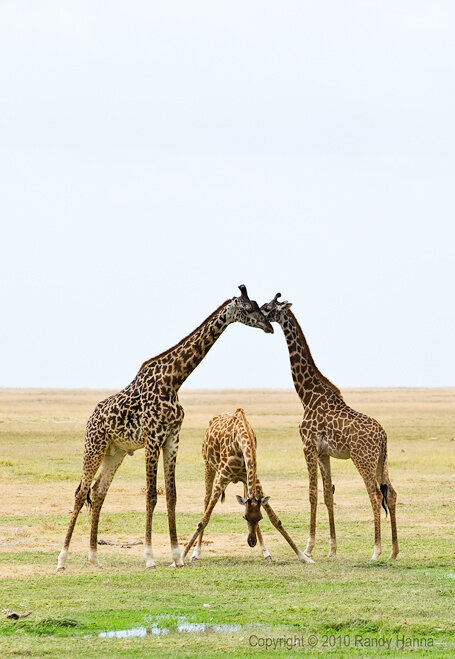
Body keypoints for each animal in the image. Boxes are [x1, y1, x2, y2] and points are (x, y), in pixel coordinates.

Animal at [56, 286, 274, 571]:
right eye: (248, 309)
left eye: (260, 305)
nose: (269, 326)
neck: (173, 380)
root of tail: (90, 418)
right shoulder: (152, 439)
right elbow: (151, 495)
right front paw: (149, 557)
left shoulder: (172, 438)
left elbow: (171, 495)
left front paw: (176, 556)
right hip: (94, 446)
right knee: (81, 493)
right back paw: (62, 559)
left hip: (115, 452)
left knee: (98, 492)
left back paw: (94, 557)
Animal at [183, 408, 312, 564]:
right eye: (244, 517)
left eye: (260, 518)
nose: (251, 542)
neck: (241, 443)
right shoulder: (222, 476)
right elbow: (203, 520)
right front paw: (180, 558)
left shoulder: (253, 478)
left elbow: (276, 519)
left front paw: (303, 556)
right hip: (208, 465)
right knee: (206, 501)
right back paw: (196, 553)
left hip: (244, 482)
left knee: (245, 496)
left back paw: (266, 552)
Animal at [260, 294, 399, 562]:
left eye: (268, 307)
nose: (260, 317)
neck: (306, 396)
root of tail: (383, 437)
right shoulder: (324, 453)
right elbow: (327, 494)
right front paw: (332, 548)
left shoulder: (308, 446)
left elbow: (312, 494)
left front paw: (308, 548)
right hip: (381, 460)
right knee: (392, 494)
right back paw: (394, 551)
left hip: (363, 459)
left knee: (376, 495)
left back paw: (376, 551)